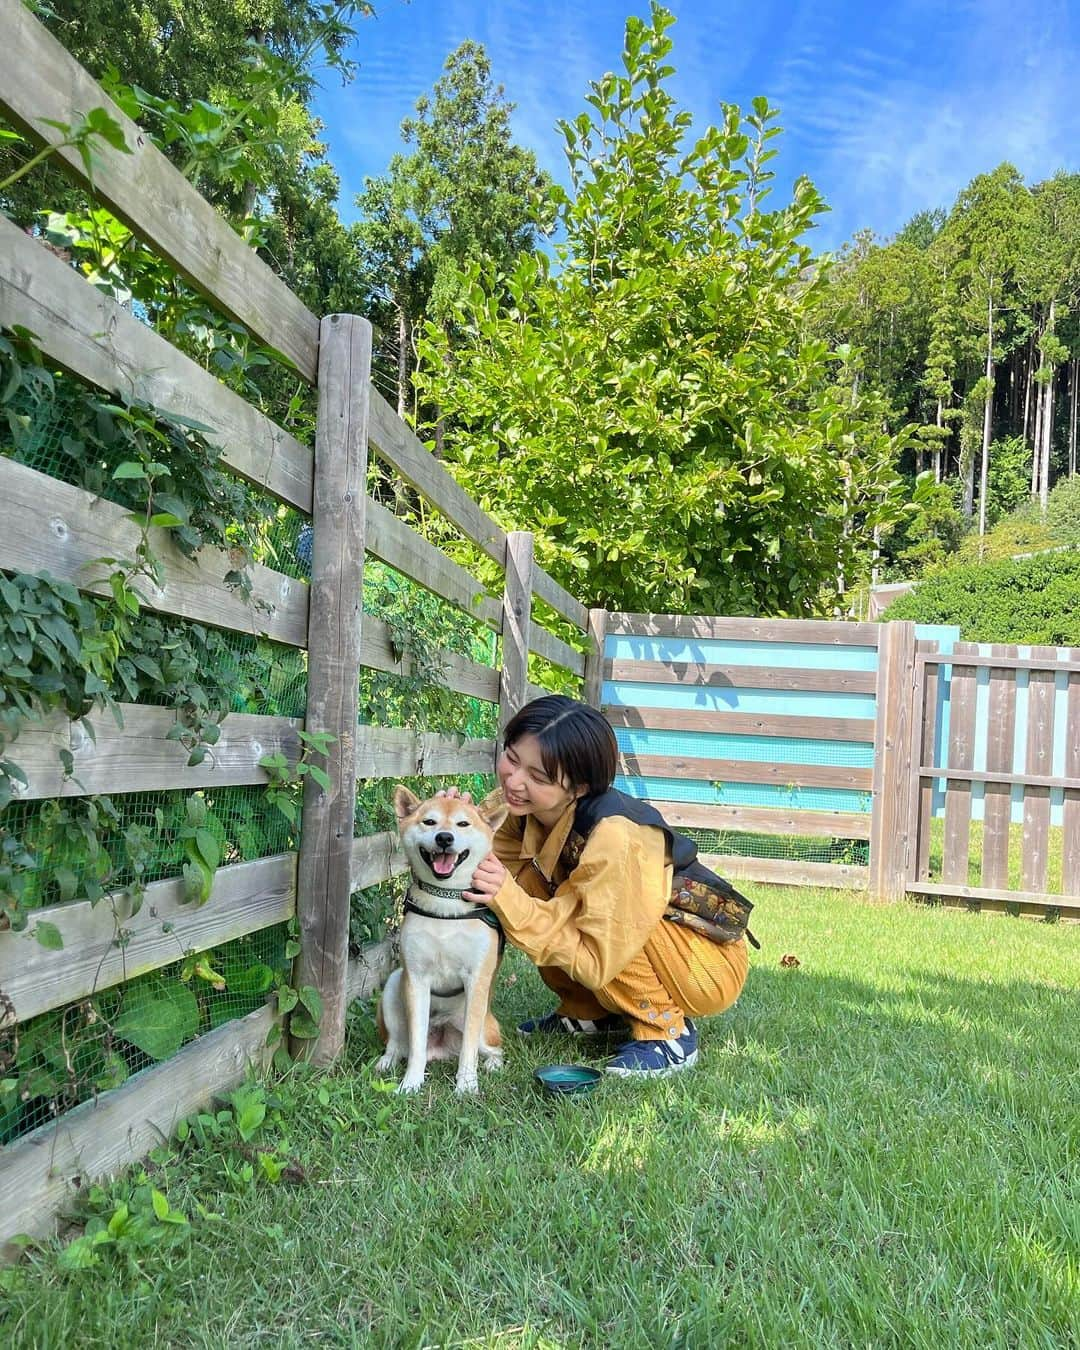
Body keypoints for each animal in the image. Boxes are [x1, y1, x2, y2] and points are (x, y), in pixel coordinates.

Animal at [375, 788, 510, 1090]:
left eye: (463, 824)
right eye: (429, 822)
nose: (445, 838)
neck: (444, 902)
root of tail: (441, 1047)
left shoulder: (477, 979)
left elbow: (469, 1048)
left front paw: (467, 1085)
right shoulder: (415, 978)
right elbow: (415, 1046)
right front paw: (410, 1084)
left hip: (486, 1027)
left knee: (493, 1049)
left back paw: (493, 1065)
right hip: (393, 986)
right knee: (399, 1044)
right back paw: (386, 1062)